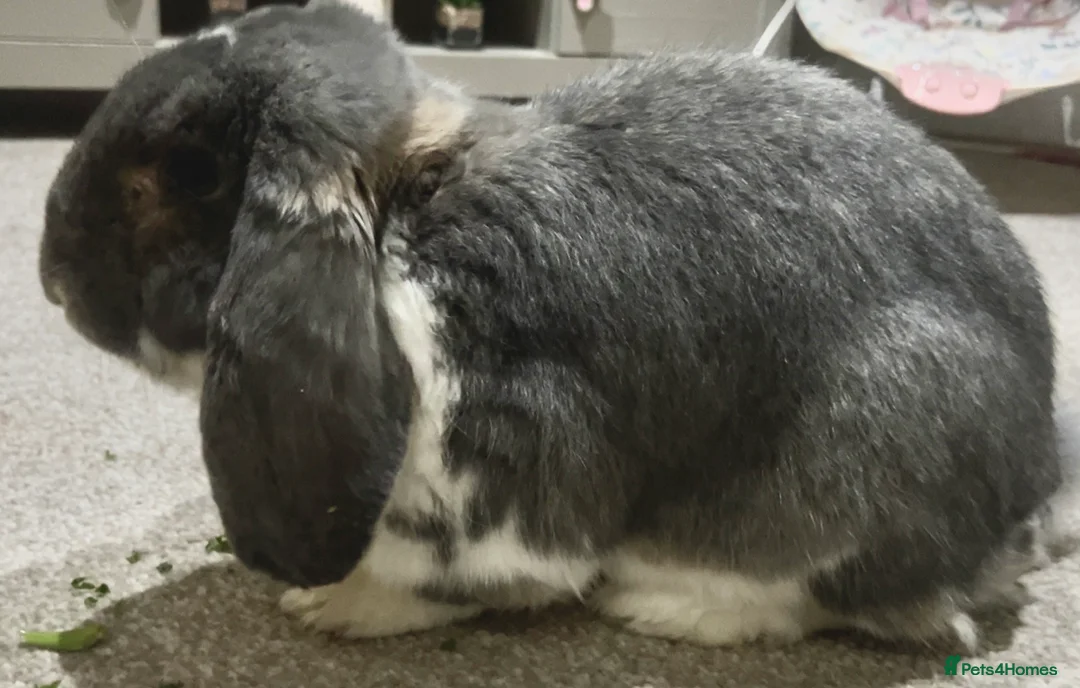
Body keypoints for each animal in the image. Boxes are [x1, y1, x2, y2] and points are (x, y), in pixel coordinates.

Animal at [38, 0, 1072, 652]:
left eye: (182, 175)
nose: (48, 281)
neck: (409, 225)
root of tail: (1027, 497)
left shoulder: (506, 464)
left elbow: (468, 576)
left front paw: (334, 605)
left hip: (860, 449)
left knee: (858, 600)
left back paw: (666, 608)